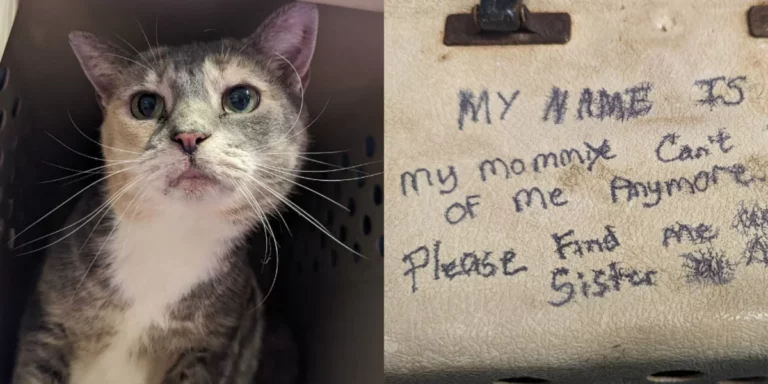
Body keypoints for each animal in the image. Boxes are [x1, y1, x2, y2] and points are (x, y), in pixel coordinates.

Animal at [9, 2, 316, 380]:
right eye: (146, 105)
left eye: (241, 98)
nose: (189, 136)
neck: (171, 237)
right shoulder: (46, 323)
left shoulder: (213, 348)